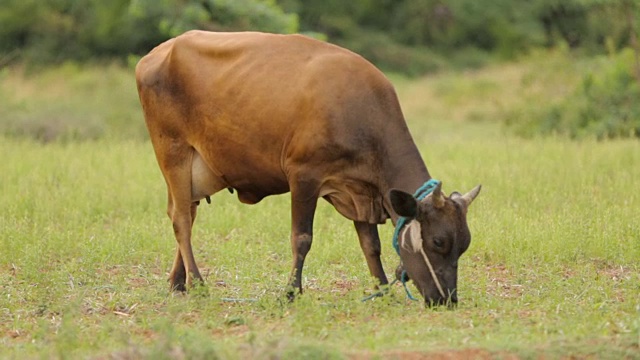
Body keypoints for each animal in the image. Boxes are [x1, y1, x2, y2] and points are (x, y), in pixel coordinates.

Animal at [136, 31, 480, 306]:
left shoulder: (360, 189)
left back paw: (178, 282)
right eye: (438, 242)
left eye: (463, 245)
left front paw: (381, 289)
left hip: (197, 167)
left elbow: (371, 245)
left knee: (188, 213)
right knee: (181, 219)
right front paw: (291, 291)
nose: (447, 300)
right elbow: (302, 238)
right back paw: (198, 282)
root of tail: (158, 51)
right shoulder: (303, 175)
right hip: (173, 151)